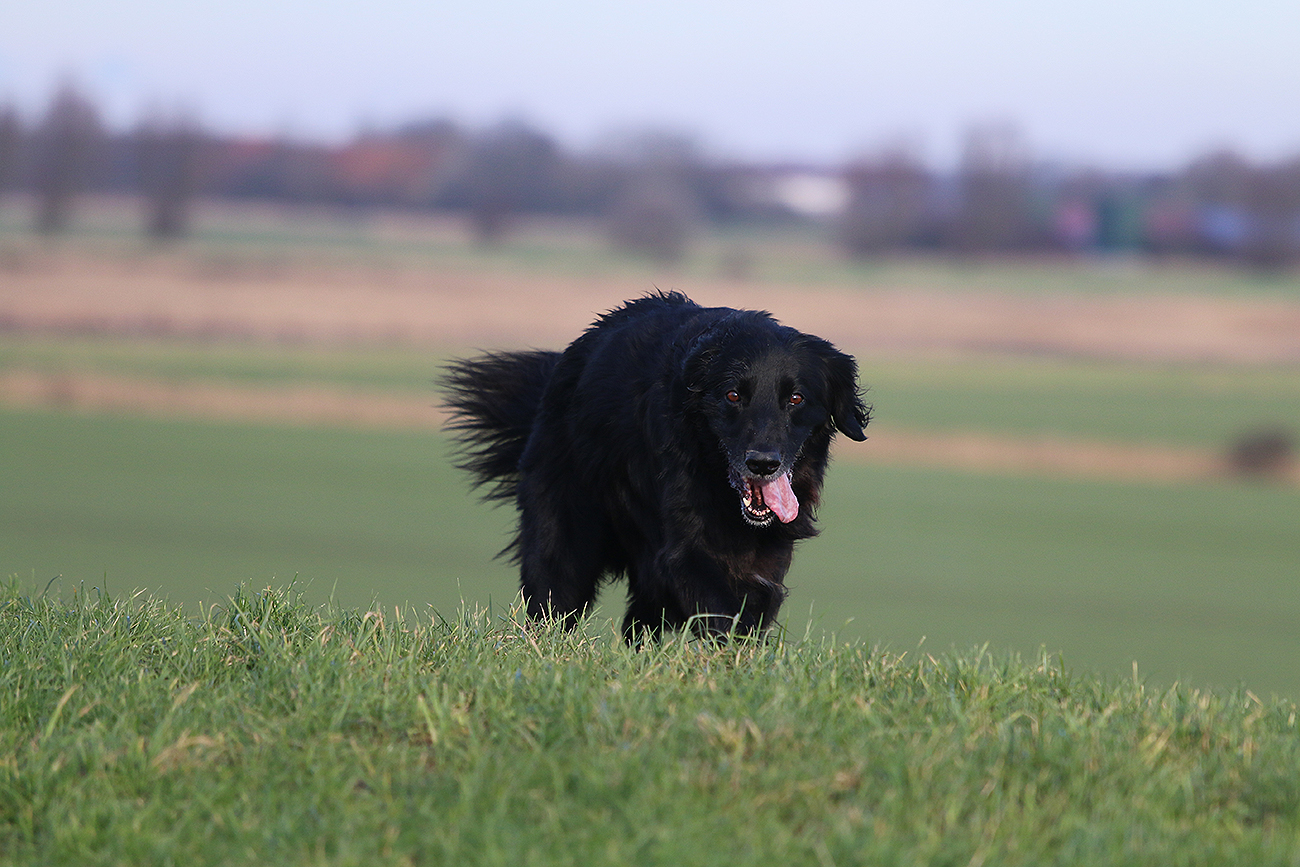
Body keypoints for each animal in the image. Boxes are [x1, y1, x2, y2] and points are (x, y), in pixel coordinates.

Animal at [443, 291, 869, 640]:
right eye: (732, 395)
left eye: (796, 398)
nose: (762, 463)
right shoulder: (683, 551)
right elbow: (724, 614)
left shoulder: (766, 559)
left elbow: (751, 613)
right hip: (564, 540)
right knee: (553, 603)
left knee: (636, 626)